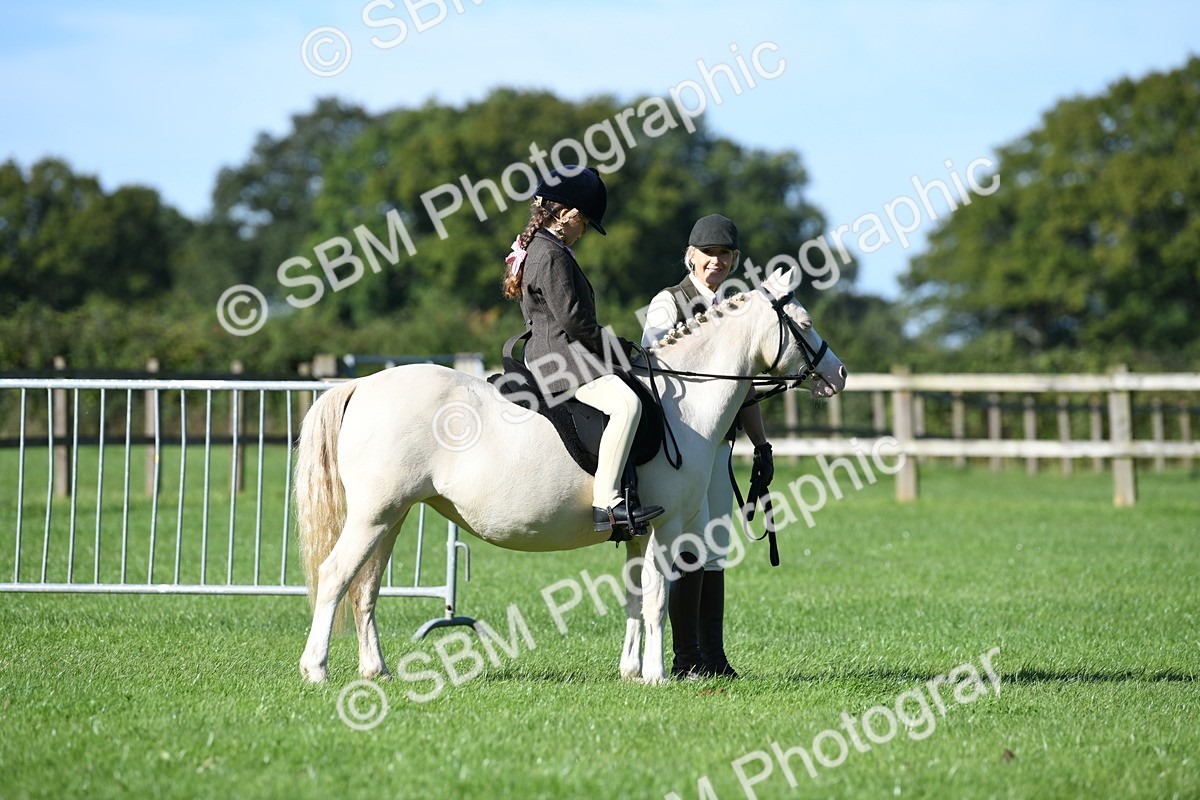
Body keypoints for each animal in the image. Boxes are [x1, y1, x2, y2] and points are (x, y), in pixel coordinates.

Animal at [295, 266, 847, 684]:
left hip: (391, 517)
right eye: (805, 322)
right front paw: (656, 676)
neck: (681, 401)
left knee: (366, 587)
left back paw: (377, 671)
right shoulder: (667, 528)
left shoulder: (638, 530)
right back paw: (316, 669)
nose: (838, 374)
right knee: (336, 575)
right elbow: (658, 600)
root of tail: (363, 385)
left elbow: (633, 598)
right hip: (374, 516)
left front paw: (630, 672)